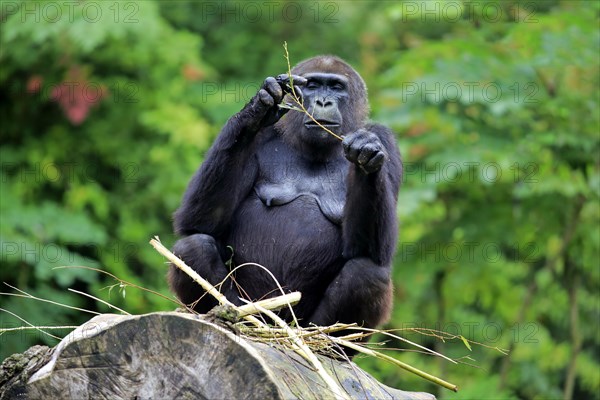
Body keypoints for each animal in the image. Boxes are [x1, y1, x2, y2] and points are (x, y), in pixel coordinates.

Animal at [169, 54, 404, 332]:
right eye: (312, 85)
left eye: (336, 87)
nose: (323, 102)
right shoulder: (262, 136)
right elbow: (200, 222)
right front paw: (258, 109)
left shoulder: (385, 139)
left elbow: (370, 251)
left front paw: (365, 154)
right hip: (255, 310)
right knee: (193, 247)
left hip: (302, 324)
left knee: (367, 273)